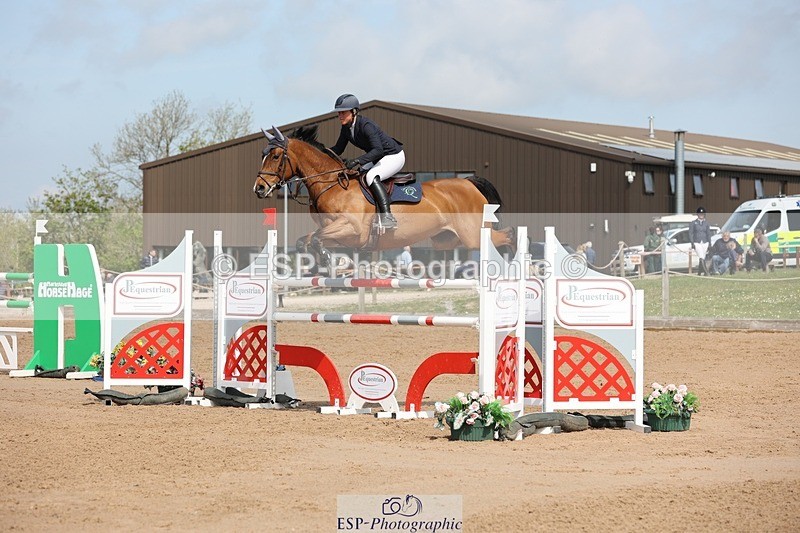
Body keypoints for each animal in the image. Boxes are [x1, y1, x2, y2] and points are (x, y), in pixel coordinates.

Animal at [253, 124, 514, 266]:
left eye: (275, 156)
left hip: (472, 235)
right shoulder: (337, 233)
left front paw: (330, 260)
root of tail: (469, 183)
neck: (332, 184)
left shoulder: (352, 229)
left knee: (508, 235)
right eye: (263, 155)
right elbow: (305, 241)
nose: (259, 188)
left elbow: (317, 239)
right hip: (446, 239)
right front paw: (329, 260)